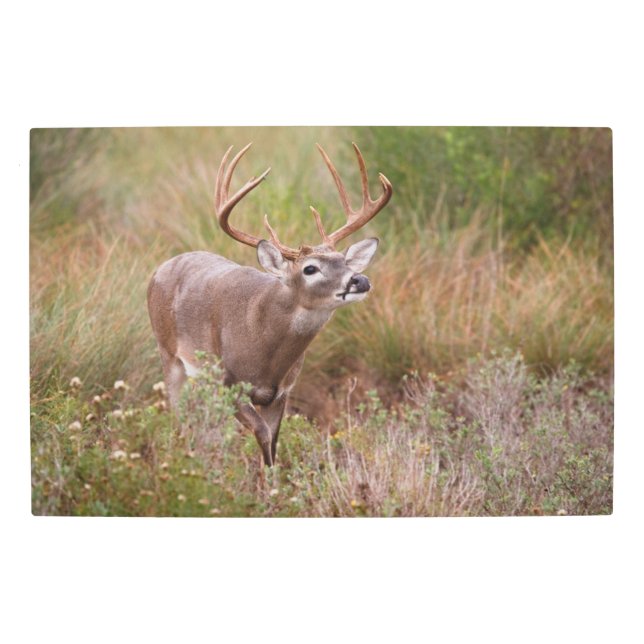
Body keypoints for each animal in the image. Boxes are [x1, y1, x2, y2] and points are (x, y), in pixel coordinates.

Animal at [147, 142, 393, 466]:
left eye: (344, 261)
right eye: (310, 268)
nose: (359, 280)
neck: (265, 347)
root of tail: (161, 267)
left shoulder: (282, 391)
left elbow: (273, 442)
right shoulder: (229, 383)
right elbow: (262, 434)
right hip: (168, 352)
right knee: (177, 415)